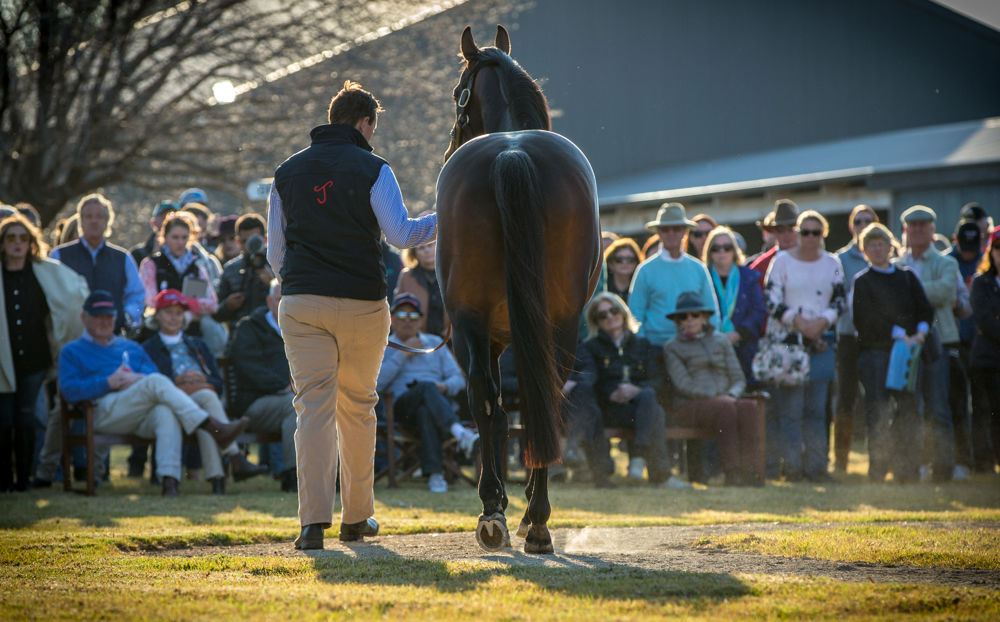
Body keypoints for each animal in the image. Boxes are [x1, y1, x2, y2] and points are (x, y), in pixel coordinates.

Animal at [435, 25, 601, 554]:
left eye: (458, 92)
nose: (447, 148)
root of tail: (512, 153)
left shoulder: (483, 335)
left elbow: (492, 409)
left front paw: (502, 505)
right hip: (559, 323)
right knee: (540, 397)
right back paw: (536, 521)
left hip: (471, 322)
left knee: (489, 398)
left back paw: (501, 513)